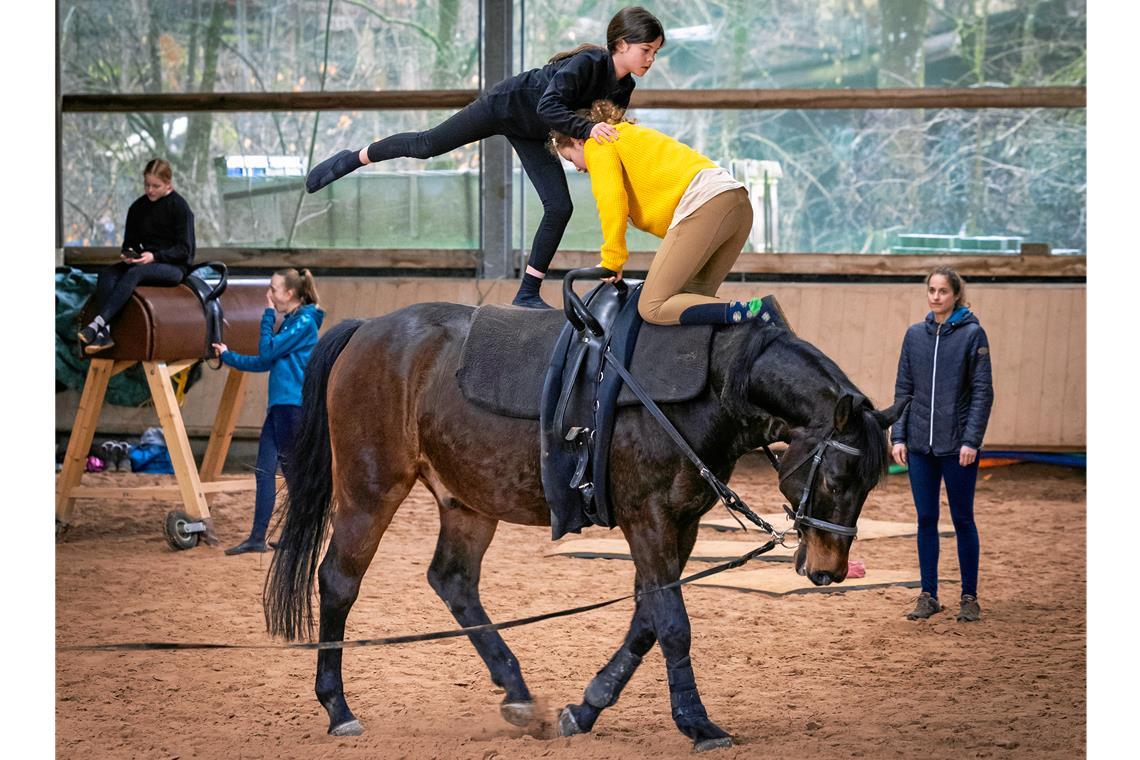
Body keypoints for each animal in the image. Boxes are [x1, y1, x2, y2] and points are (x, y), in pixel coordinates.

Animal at [266, 300, 907, 747]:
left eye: (869, 484)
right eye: (837, 480)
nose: (829, 570)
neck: (713, 386)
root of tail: (367, 329)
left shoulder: (682, 524)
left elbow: (647, 618)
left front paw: (587, 707)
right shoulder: (648, 518)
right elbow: (672, 623)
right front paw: (698, 724)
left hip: (467, 501)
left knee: (452, 581)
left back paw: (519, 694)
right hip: (371, 490)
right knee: (339, 582)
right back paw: (339, 709)